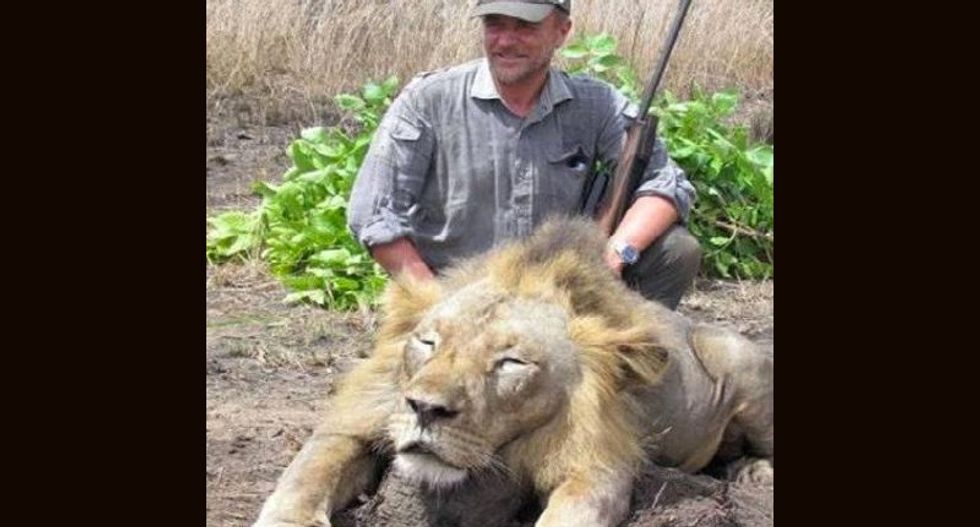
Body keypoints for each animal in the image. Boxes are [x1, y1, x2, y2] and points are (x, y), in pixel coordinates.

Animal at [253, 217, 773, 527]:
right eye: (429, 343)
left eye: (510, 363)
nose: (423, 409)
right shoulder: (354, 424)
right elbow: (306, 477)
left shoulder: (596, 468)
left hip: (740, 365)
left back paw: (755, 474)